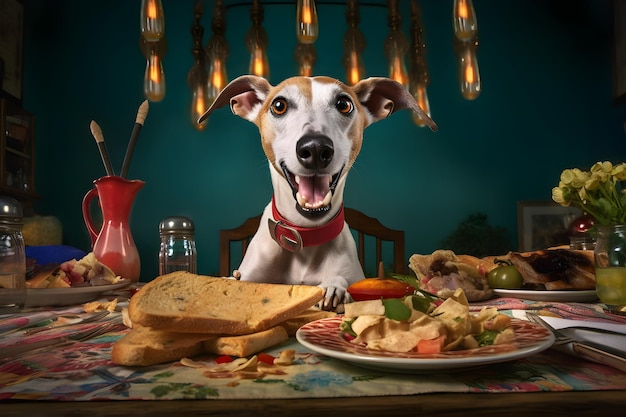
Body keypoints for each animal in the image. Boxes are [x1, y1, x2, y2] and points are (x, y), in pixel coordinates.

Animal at [199, 75, 434, 308]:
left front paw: (334, 289)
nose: (315, 148)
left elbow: (340, 281)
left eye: (343, 103)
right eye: (279, 105)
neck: (305, 234)